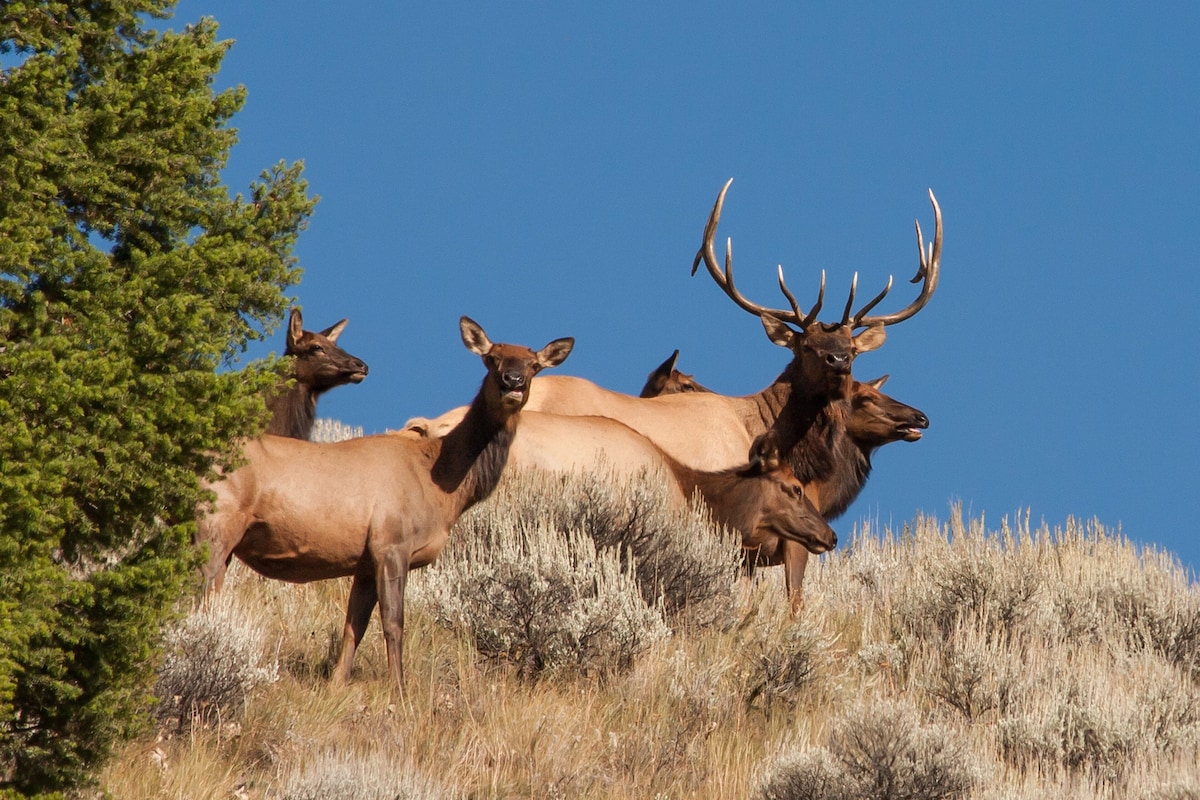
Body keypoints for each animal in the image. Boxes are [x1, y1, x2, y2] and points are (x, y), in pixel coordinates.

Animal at [195, 316, 571, 690]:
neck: (443, 487)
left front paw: (337, 685)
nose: (513, 381)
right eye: (491, 358)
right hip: (217, 524)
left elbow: (353, 627)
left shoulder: (364, 561)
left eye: (534, 365)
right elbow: (394, 622)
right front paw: (400, 689)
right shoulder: (392, 542)